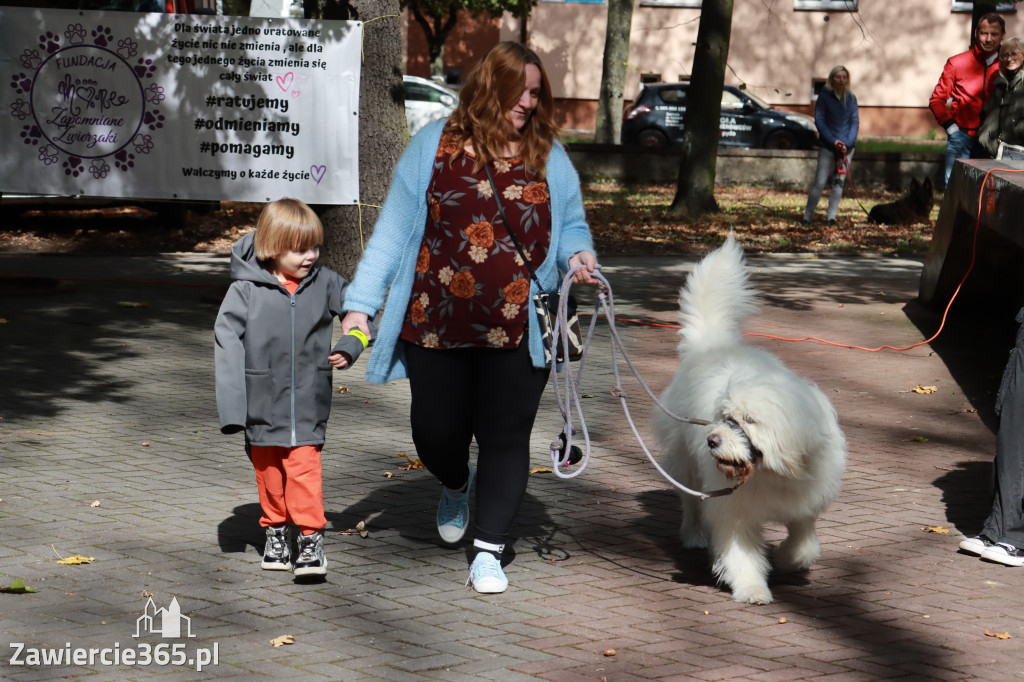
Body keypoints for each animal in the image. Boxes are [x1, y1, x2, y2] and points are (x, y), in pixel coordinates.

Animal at [655, 235, 847, 602]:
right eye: (724, 416)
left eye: (748, 420)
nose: (711, 440)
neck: (774, 472)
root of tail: (710, 346)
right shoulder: (735, 510)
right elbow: (740, 551)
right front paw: (752, 588)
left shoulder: (805, 500)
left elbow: (804, 541)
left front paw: (787, 560)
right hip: (684, 464)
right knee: (691, 503)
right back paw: (694, 536)